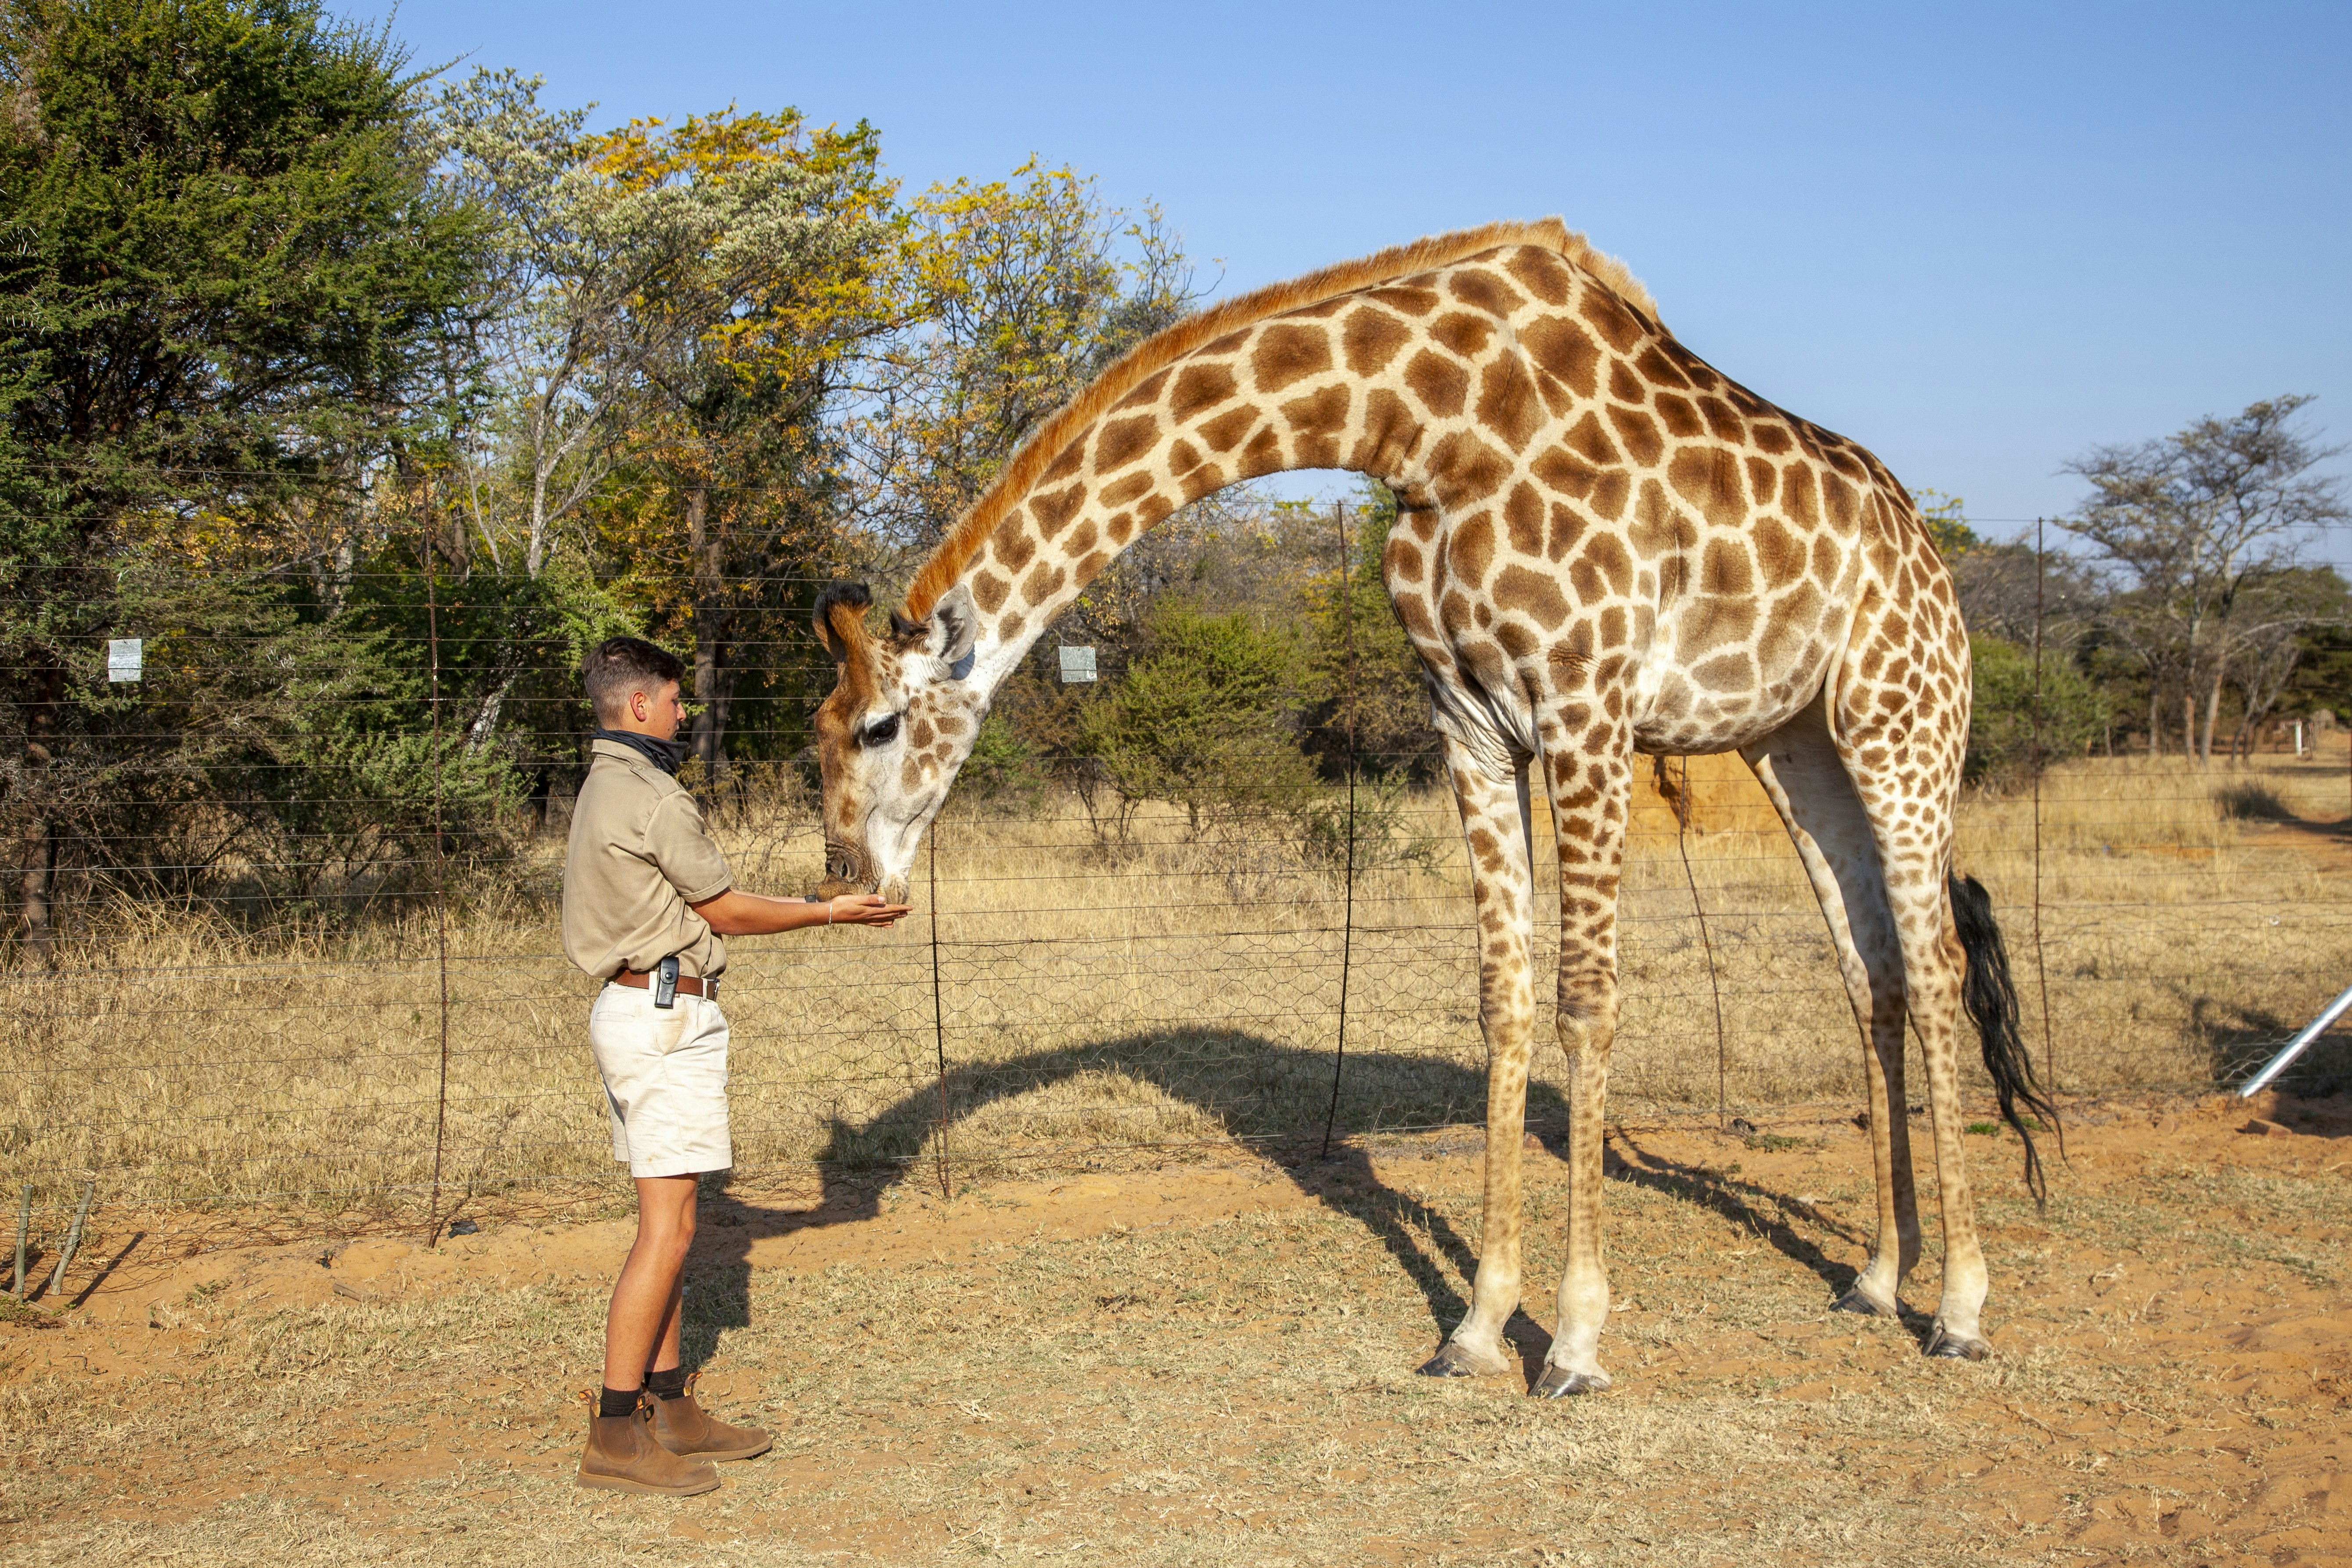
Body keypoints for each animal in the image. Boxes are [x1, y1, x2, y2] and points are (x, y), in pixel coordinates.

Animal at [811, 219, 2057, 1394]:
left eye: (875, 725)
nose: (845, 875)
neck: (1424, 426)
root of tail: (1928, 551)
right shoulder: (1468, 720)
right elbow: (1504, 999)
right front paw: (1475, 1327)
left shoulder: (1587, 707)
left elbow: (1586, 1000)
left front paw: (1576, 1342)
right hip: (1794, 744)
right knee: (1870, 971)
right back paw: (1875, 1278)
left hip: (1903, 721)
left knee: (1936, 967)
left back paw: (1958, 1308)